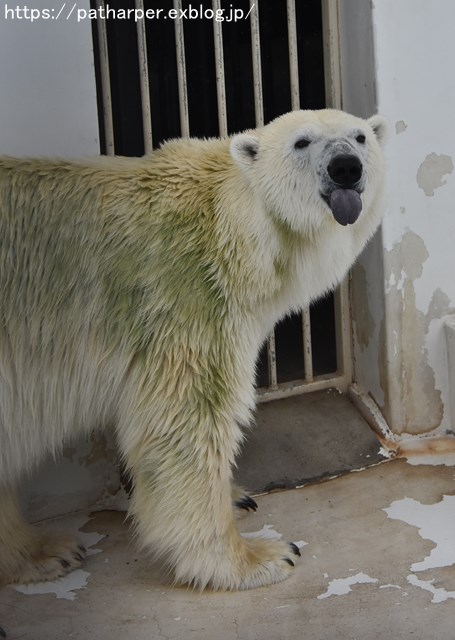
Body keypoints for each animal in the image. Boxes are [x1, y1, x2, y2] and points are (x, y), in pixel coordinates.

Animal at [0, 109, 388, 592]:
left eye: (360, 136)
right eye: (302, 142)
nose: (346, 168)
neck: (233, 232)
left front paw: (238, 496)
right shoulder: (186, 300)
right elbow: (185, 423)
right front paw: (257, 557)